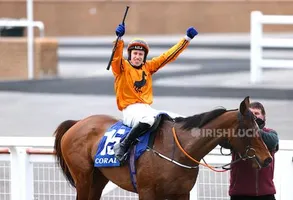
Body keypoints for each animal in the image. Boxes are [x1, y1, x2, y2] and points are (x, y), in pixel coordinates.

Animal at [53, 96, 272, 199]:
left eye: (259, 127)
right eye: (250, 130)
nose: (267, 159)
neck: (178, 151)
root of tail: (77, 123)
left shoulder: (181, 193)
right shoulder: (147, 192)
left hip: (98, 179)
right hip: (83, 178)